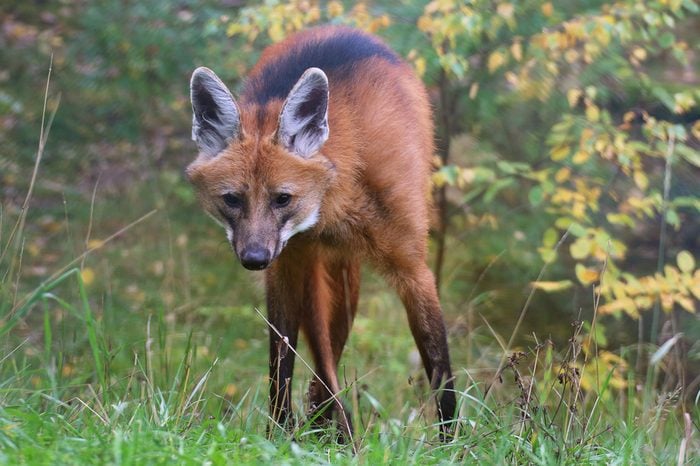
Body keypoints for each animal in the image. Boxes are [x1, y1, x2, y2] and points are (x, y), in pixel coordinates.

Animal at [187, 26, 454, 440]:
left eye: (283, 198)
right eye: (232, 199)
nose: (253, 259)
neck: (335, 205)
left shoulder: (413, 266)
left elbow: (440, 368)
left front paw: (453, 443)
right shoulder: (285, 266)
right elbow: (281, 361)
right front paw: (280, 436)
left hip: (344, 282)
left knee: (331, 350)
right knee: (320, 356)